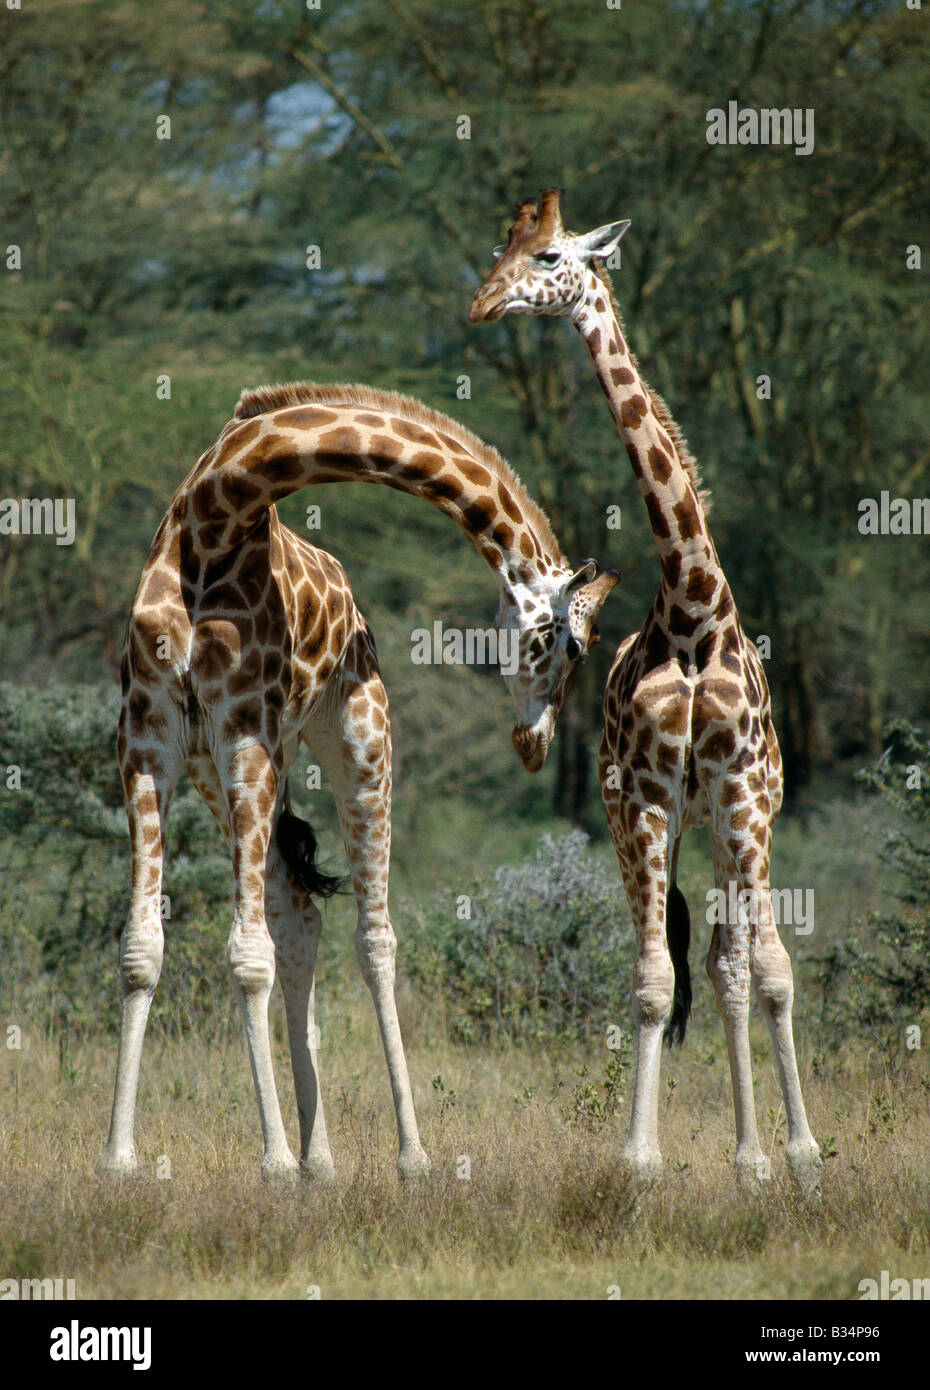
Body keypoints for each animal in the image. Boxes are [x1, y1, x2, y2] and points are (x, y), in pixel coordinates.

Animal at [102, 378, 617, 1180]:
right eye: (571, 643)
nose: (534, 744)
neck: (220, 512)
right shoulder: (149, 737)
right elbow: (142, 948)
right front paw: (120, 1160)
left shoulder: (243, 728)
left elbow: (247, 956)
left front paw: (273, 1161)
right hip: (221, 771)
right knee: (299, 918)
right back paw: (320, 1160)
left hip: (359, 747)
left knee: (374, 941)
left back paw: (408, 1156)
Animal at [470, 190, 821, 1189]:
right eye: (499, 248)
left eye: (547, 254)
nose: (482, 305)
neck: (694, 609)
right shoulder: (647, 801)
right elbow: (654, 979)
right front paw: (640, 1161)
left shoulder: (742, 793)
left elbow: (766, 971)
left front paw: (796, 1157)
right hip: (668, 820)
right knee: (701, 958)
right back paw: (745, 1154)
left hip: (743, 819)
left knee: (743, 962)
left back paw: (770, 1156)